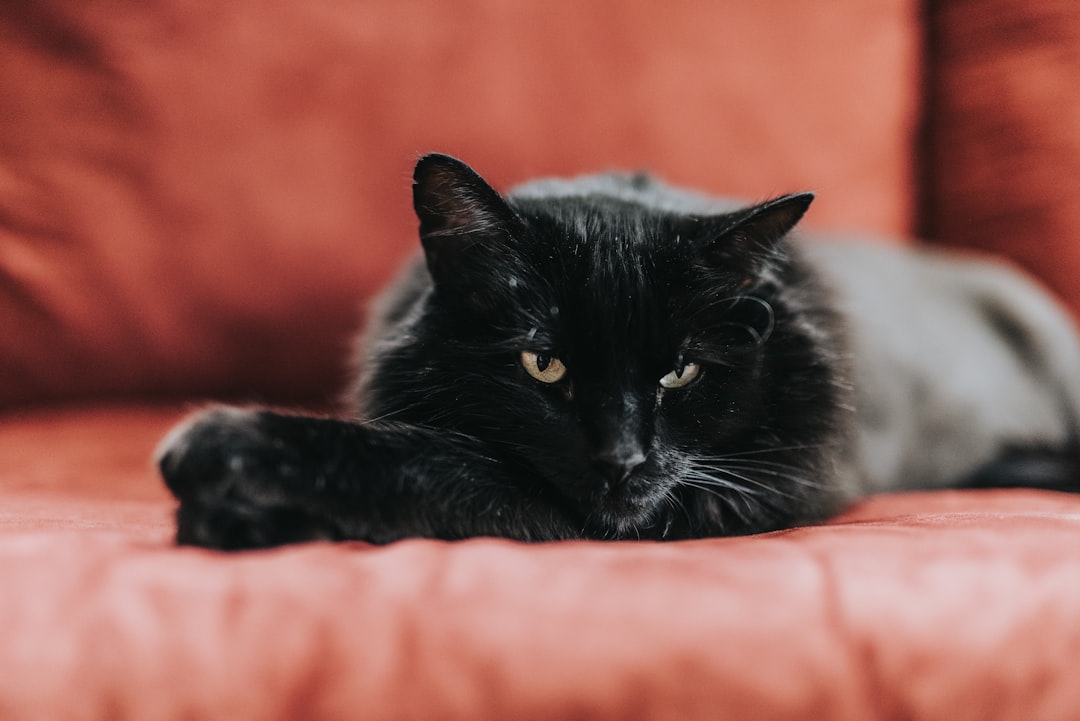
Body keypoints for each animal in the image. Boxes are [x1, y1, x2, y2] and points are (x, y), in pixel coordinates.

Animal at [156, 151, 1080, 546]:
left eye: (680, 369)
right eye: (544, 363)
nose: (623, 458)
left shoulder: (733, 495)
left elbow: (440, 466)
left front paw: (230, 457)